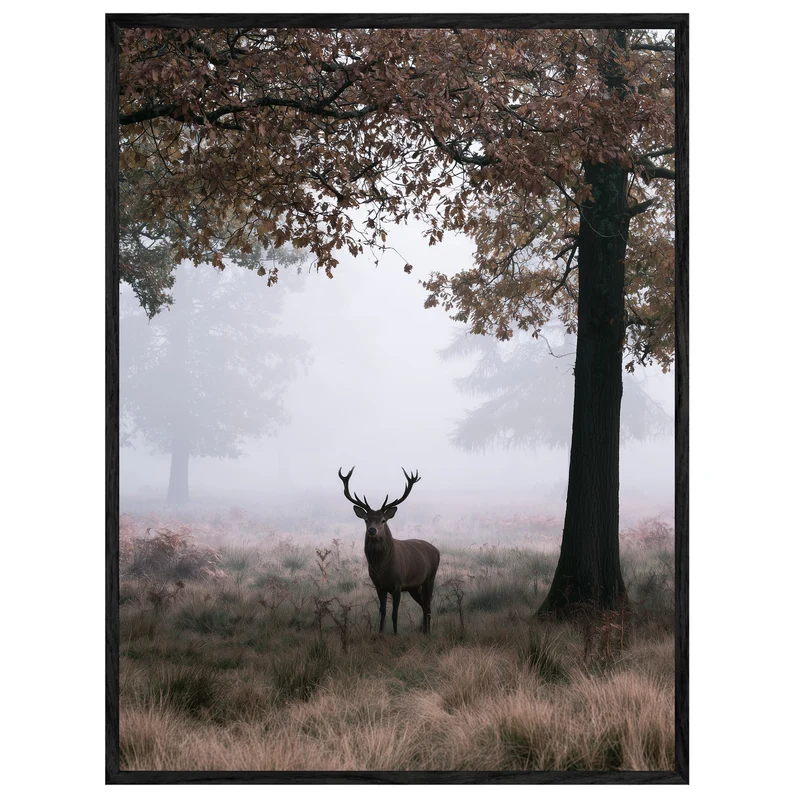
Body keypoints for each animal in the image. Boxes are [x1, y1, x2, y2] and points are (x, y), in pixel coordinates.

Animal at [338, 467, 440, 634]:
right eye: (366, 520)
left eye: (383, 520)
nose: (372, 530)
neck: (381, 567)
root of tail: (437, 551)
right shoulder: (379, 586)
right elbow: (383, 611)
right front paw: (380, 632)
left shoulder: (398, 584)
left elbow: (395, 612)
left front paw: (396, 633)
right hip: (414, 586)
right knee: (424, 605)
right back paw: (425, 631)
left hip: (430, 577)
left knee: (429, 604)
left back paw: (429, 632)